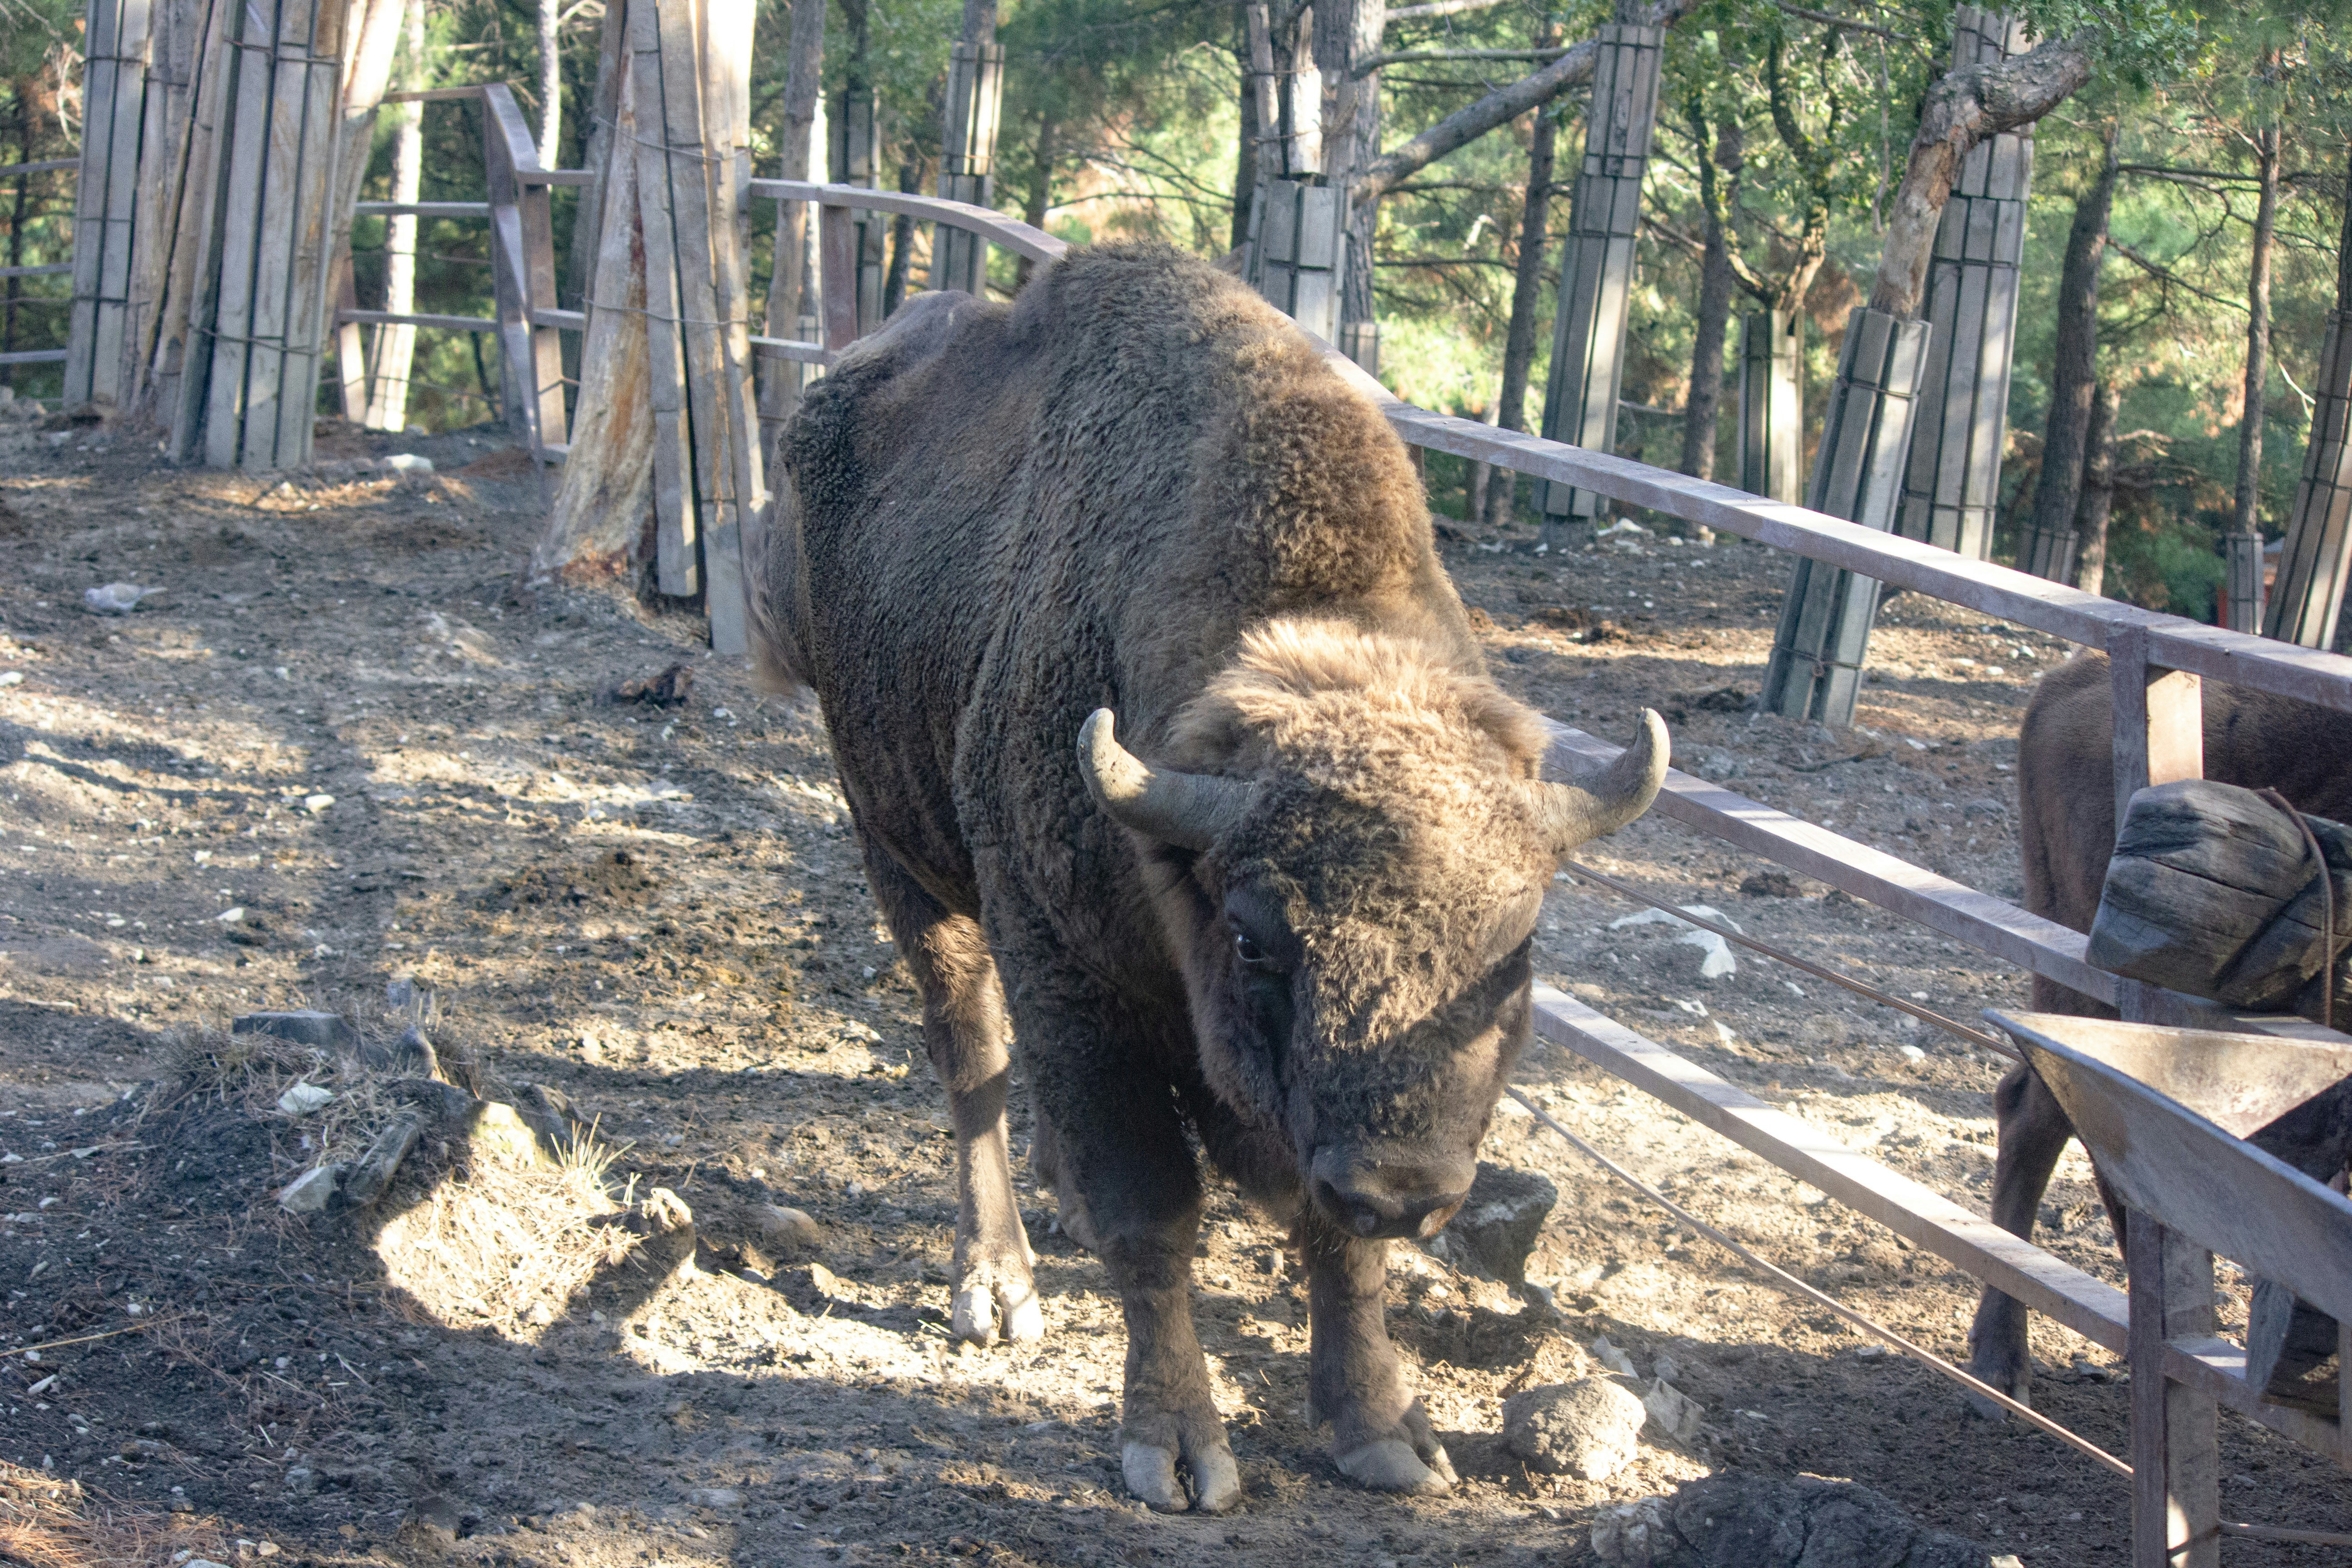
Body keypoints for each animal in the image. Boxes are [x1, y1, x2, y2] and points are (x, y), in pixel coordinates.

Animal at [750, 242, 1666, 1509]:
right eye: (1250, 933)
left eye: (1519, 941)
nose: (1402, 1184)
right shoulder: (1065, 960)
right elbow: (1153, 1213)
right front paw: (1178, 1447)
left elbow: (1335, 1249)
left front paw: (1385, 1433)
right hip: (898, 847)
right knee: (969, 1052)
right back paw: (996, 1284)